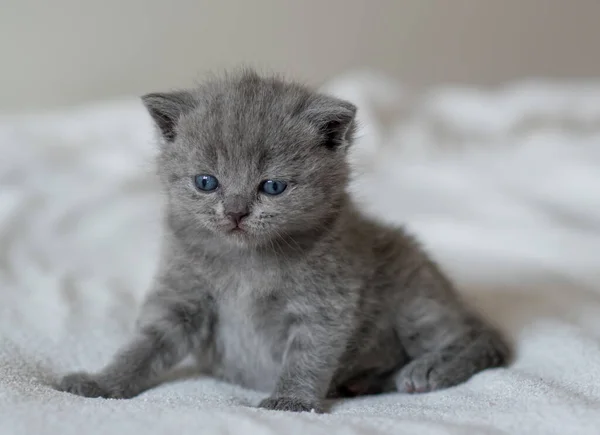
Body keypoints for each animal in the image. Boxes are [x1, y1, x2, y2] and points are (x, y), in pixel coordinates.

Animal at [56, 70, 508, 414]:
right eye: (206, 182)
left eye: (272, 186)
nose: (235, 212)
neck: (246, 263)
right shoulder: (179, 297)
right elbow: (143, 347)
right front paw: (101, 382)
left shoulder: (325, 303)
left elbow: (307, 355)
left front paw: (290, 401)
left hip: (416, 299)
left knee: (484, 340)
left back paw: (425, 371)